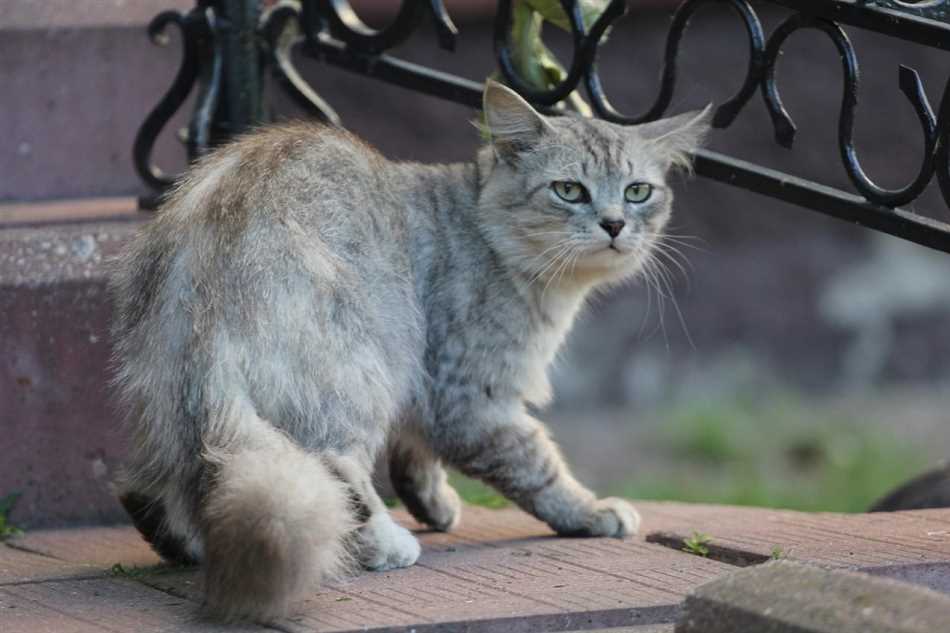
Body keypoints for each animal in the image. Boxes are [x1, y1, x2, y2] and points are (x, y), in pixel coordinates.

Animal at [109, 80, 708, 624]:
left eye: (637, 192)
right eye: (569, 190)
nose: (615, 224)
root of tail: (206, 290)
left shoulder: (428, 382)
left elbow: (416, 452)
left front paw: (433, 502)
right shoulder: (470, 393)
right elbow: (536, 465)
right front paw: (592, 512)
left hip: (176, 405)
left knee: (156, 486)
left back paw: (179, 540)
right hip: (360, 367)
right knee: (331, 469)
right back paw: (384, 545)